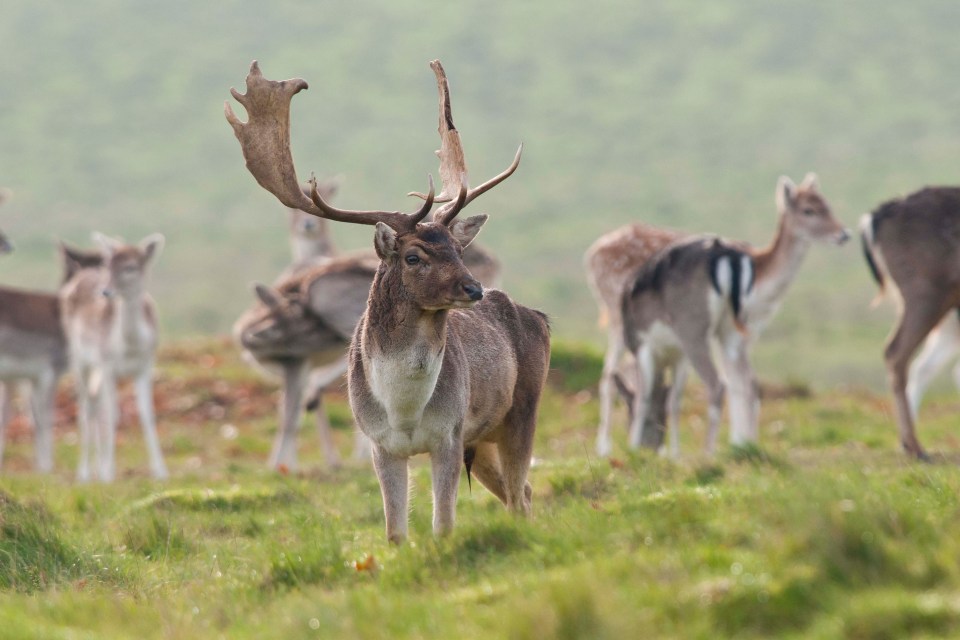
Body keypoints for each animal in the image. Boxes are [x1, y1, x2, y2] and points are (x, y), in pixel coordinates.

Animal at [61, 231, 168, 480]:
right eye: (108, 266)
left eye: (130, 267)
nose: (105, 291)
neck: (130, 346)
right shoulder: (107, 364)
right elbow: (111, 416)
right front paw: (109, 473)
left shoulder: (146, 364)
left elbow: (147, 414)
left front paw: (160, 471)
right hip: (78, 357)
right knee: (86, 406)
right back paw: (85, 473)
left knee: (95, 401)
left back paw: (97, 468)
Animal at [225, 58, 552, 540]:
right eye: (413, 256)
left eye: (457, 249)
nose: (473, 288)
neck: (404, 411)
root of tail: (542, 318)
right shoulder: (384, 446)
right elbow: (395, 531)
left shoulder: (449, 435)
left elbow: (442, 525)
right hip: (483, 438)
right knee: (522, 493)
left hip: (521, 412)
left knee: (519, 495)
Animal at [584, 174, 848, 456]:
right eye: (809, 210)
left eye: (827, 205)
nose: (844, 234)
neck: (763, 282)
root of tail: (593, 251)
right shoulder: (737, 332)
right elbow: (739, 382)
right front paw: (739, 441)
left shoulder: (736, 334)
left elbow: (741, 383)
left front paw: (742, 443)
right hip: (617, 316)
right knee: (608, 375)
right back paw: (604, 446)